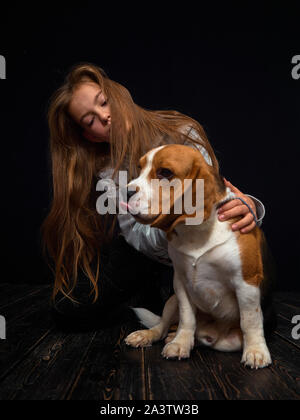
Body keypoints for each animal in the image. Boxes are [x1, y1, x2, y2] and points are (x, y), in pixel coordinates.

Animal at [122, 146, 276, 370]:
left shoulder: (247, 282)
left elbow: (250, 320)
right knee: (162, 325)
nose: (125, 192)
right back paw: (152, 335)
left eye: (165, 172)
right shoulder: (180, 282)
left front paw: (256, 350)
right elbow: (187, 318)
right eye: (140, 168)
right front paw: (180, 343)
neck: (196, 231)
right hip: (171, 301)